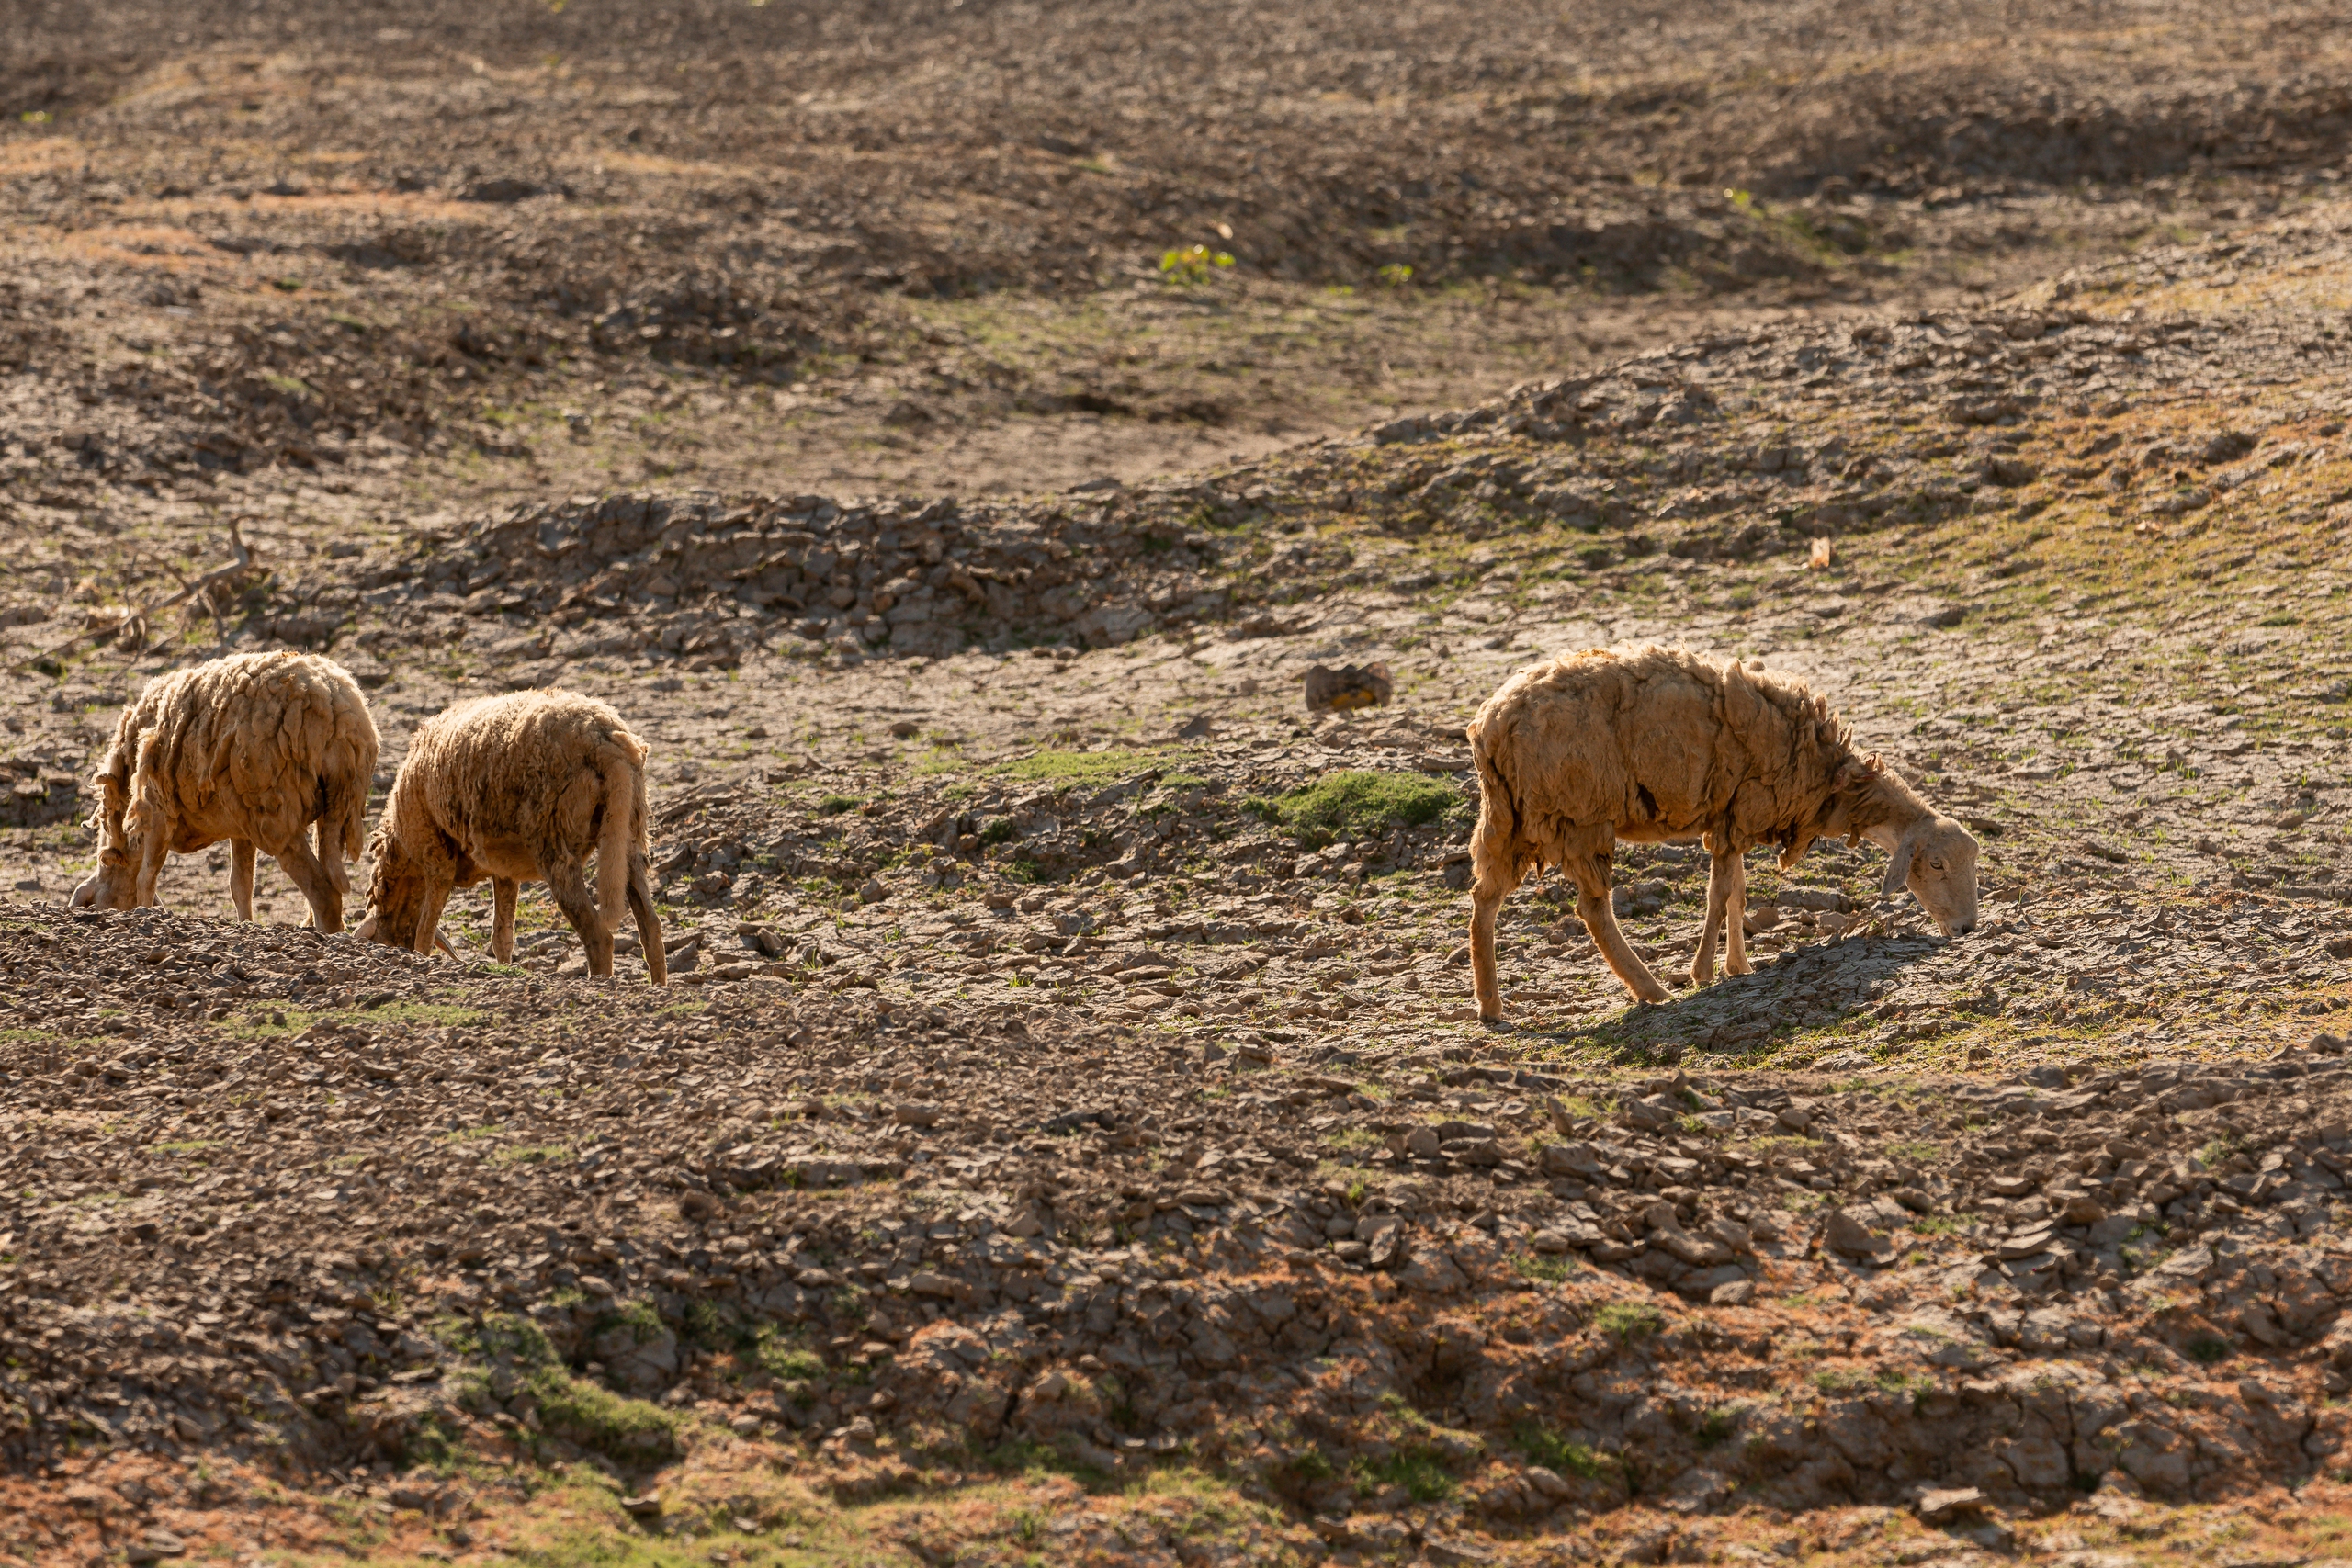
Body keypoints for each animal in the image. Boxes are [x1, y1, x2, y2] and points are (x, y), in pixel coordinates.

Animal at [68, 649, 379, 931]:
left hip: (274, 809)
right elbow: (240, 885)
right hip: (333, 804)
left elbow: (147, 877)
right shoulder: (240, 825)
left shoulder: (157, 809)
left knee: (324, 893)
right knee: (328, 877)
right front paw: (246, 923)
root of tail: (333, 709)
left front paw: (145, 911)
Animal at [357, 691, 673, 982]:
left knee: (598, 935)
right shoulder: (504, 869)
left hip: (554, 841)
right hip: (629, 832)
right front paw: (505, 968)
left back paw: (600, 982)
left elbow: (425, 929)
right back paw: (659, 985)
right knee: (650, 925)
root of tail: (603, 740)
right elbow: (502, 936)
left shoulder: (435, 856)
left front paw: (421, 957)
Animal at [1458, 649, 1975, 1020]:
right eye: (1936, 864)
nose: (1967, 928)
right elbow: (1720, 892)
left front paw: (1738, 966)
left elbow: (1736, 894)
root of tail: (1491, 726)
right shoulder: (1743, 809)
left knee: (1484, 898)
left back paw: (1490, 1005)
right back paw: (1652, 989)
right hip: (1578, 812)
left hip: (1509, 815)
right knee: (1593, 910)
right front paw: (1704, 971)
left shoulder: (1732, 817)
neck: (1833, 780)